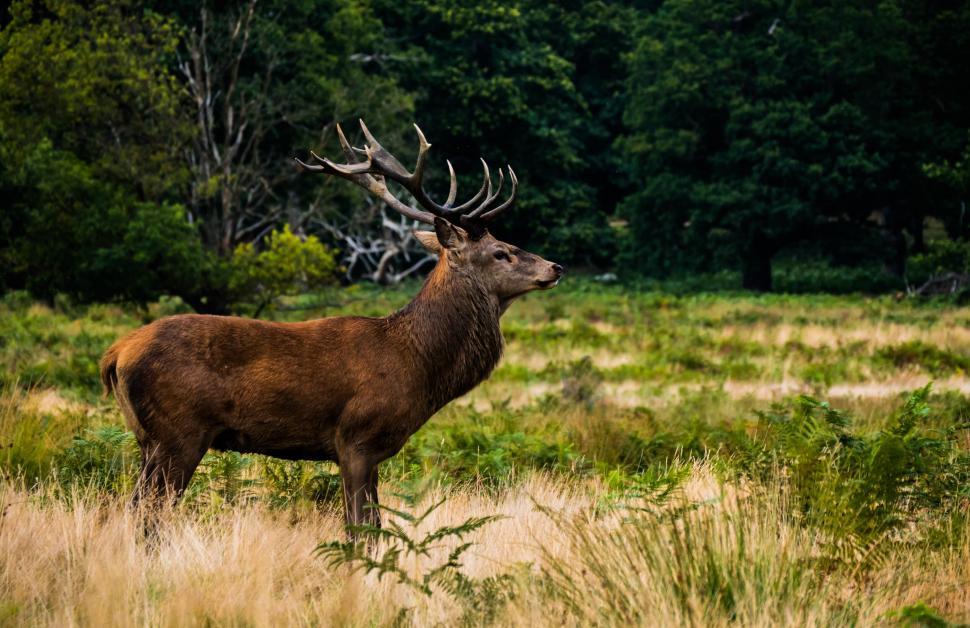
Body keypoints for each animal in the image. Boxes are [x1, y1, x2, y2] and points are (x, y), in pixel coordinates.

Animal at [99, 121, 563, 531]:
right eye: (501, 251)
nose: (555, 266)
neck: (417, 364)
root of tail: (115, 354)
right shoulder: (356, 438)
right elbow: (361, 528)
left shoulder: (371, 451)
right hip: (179, 433)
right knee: (148, 516)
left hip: (148, 439)